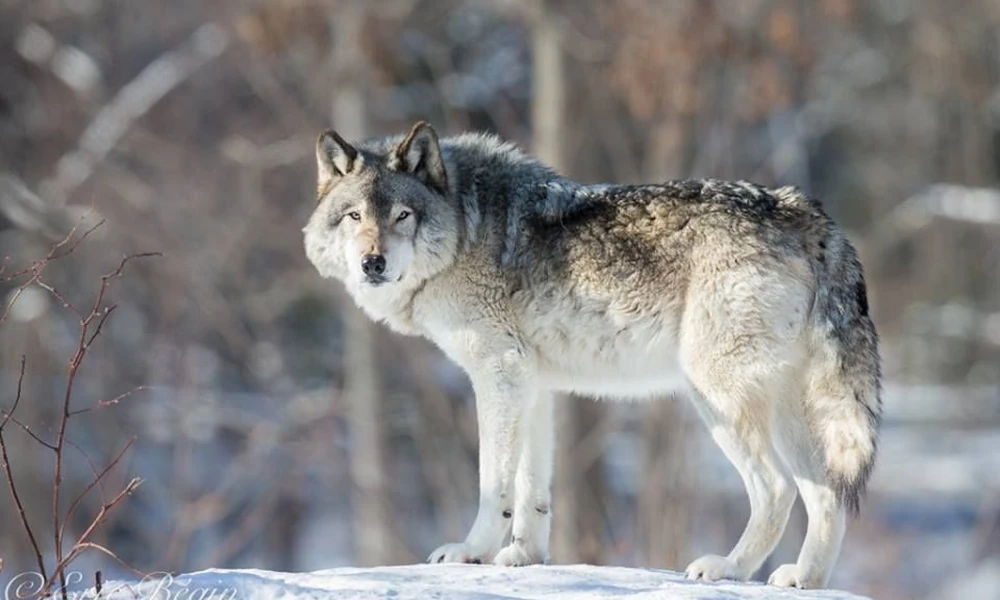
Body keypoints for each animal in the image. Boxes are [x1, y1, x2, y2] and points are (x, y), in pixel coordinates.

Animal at [302, 121, 881, 589]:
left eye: (403, 215)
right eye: (353, 216)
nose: (373, 263)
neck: (465, 229)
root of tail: (804, 212)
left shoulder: (499, 374)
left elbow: (495, 482)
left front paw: (472, 553)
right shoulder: (532, 384)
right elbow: (532, 487)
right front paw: (523, 558)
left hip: (715, 398)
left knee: (777, 490)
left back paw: (727, 568)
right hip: (783, 411)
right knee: (827, 495)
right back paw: (803, 579)